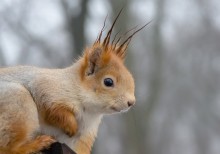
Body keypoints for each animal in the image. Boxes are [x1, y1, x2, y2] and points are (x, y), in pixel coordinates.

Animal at [0, 9, 149, 154]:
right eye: (108, 82)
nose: (131, 102)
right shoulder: (46, 87)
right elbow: (52, 109)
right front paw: (71, 126)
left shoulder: (82, 138)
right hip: (17, 104)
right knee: (8, 147)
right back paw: (36, 145)